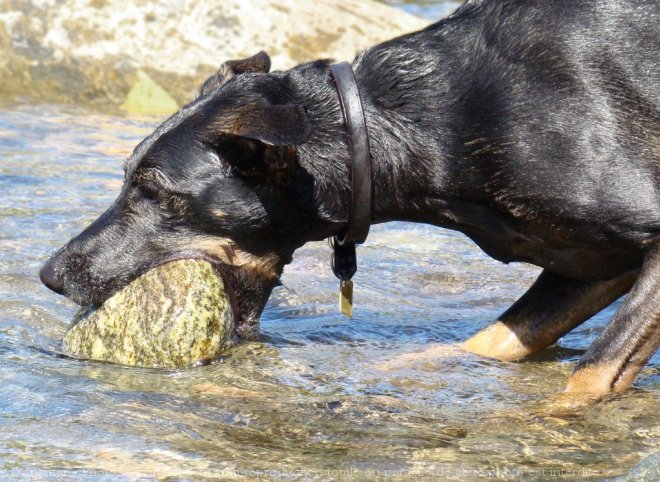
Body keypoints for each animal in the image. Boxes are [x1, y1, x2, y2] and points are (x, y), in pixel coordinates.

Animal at [40, 0, 656, 394]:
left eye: (152, 191)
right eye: (126, 176)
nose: (50, 275)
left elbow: (593, 371)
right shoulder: (590, 264)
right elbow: (489, 341)